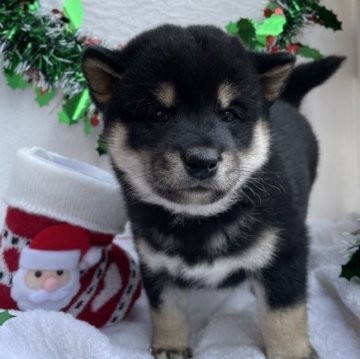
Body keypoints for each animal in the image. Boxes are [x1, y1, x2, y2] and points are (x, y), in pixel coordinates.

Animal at [81, 25, 344, 359]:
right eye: (157, 114)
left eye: (229, 114)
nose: (202, 161)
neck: (200, 219)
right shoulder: (154, 262)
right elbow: (166, 310)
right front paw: (171, 346)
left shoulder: (285, 253)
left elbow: (284, 316)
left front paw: (291, 353)